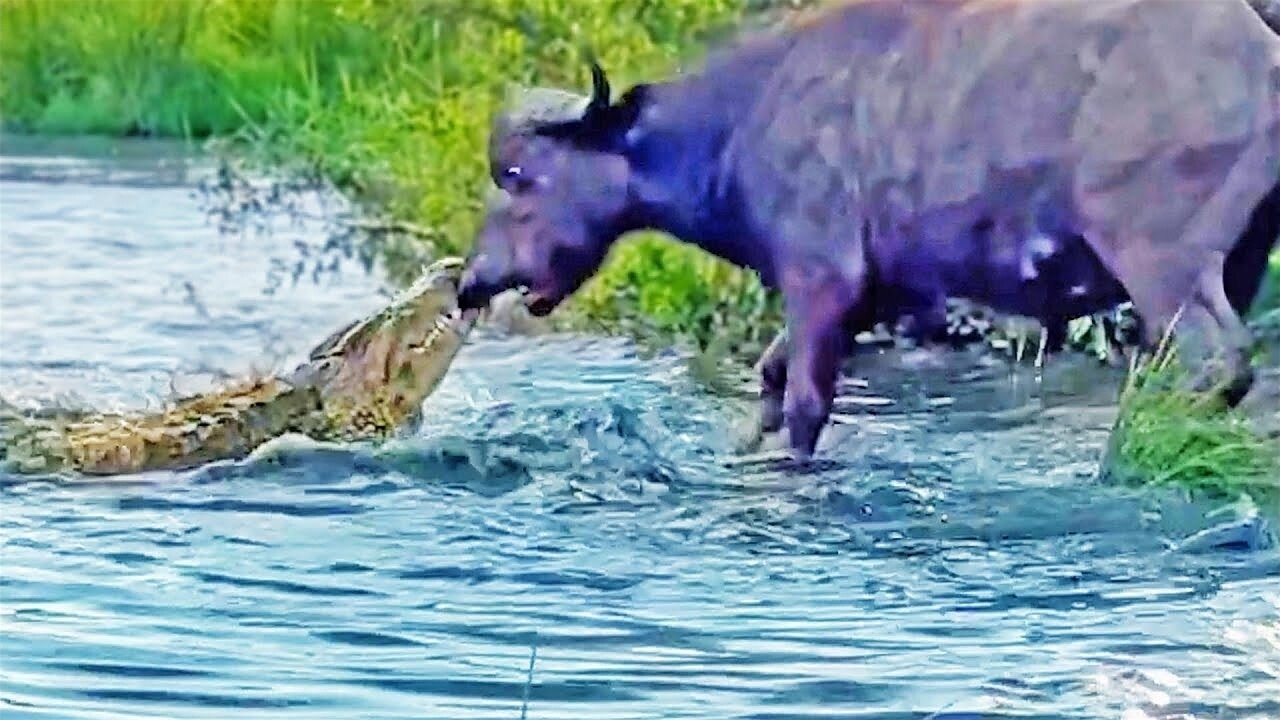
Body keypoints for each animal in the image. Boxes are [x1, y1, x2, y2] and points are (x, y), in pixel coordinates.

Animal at [460, 0, 1280, 458]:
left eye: (518, 175)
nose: (471, 283)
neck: (741, 121)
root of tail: (1259, 55)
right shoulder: (878, 294)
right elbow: (769, 377)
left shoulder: (821, 279)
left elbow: (804, 403)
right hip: (1241, 258)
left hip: (1162, 261)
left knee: (1220, 361)